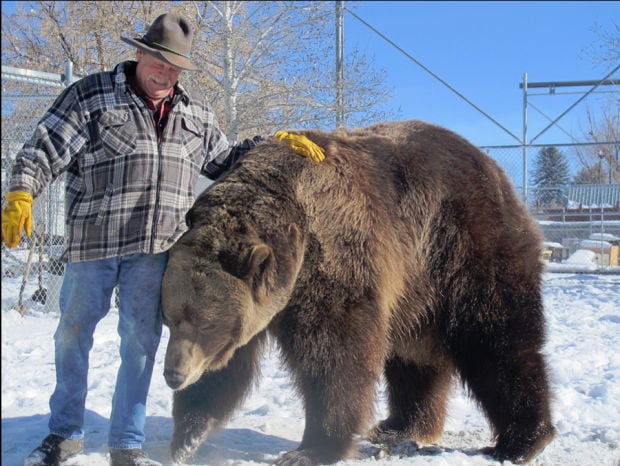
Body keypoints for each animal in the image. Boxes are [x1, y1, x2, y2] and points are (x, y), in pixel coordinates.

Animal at [161, 118, 556, 464]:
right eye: (170, 318)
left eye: (207, 322)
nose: (173, 375)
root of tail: (494, 168)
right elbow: (227, 366)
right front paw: (186, 436)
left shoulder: (333, 260)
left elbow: (335, 357)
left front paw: (312, 449)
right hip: (415, 285)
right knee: (414, 356)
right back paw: (401, 426)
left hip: (463, 247)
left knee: (496, 337)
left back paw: (522, 441)